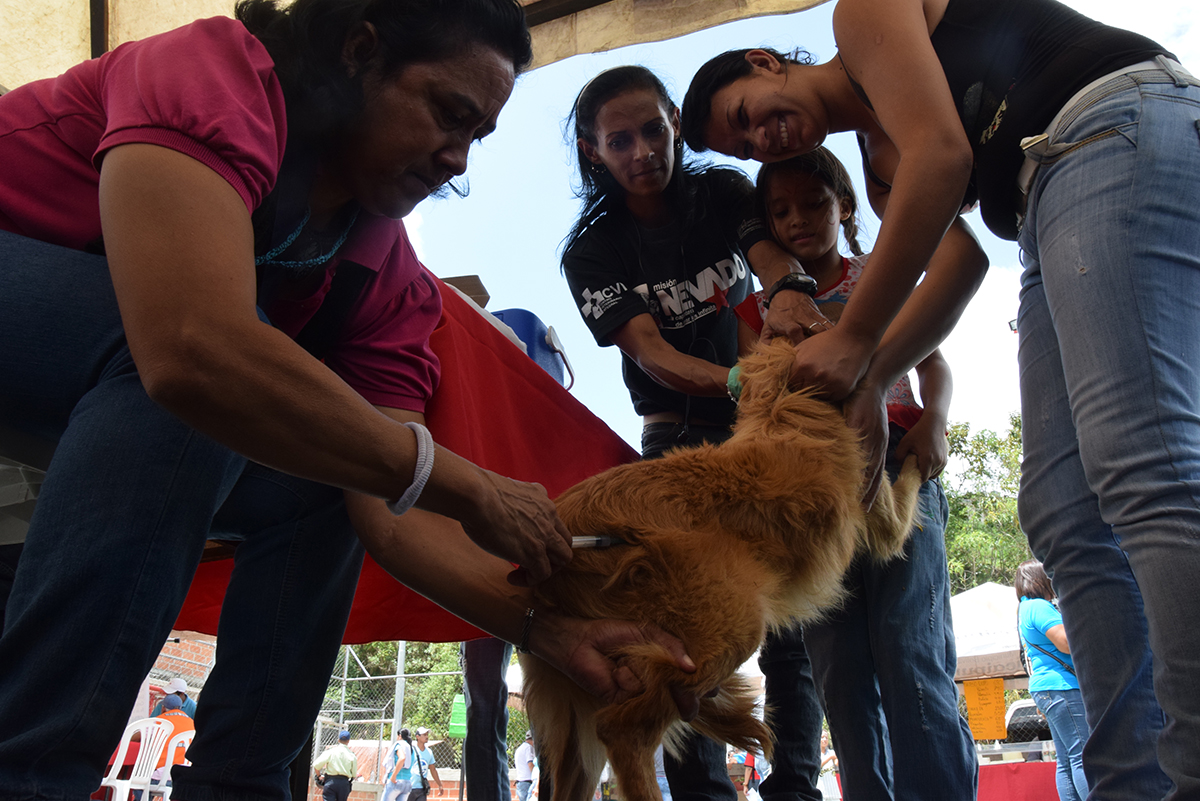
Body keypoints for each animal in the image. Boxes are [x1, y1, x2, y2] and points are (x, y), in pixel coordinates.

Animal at [520, 338, 921, 801]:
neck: (777, 402)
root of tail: (562, 534)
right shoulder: (884, 515)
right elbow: (909, 493)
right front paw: (924, 453)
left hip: (581, 688)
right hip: (731, 628)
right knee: (623, 729)